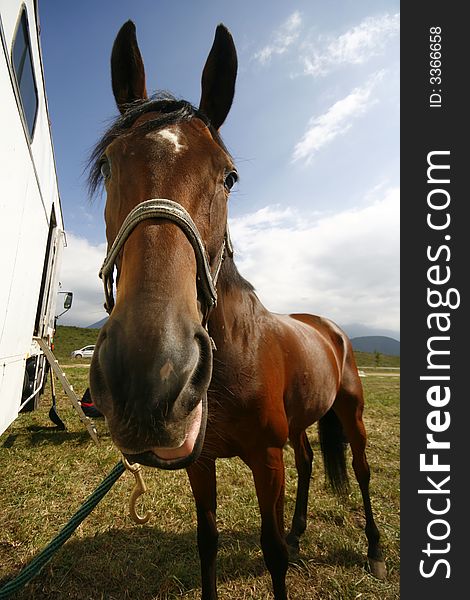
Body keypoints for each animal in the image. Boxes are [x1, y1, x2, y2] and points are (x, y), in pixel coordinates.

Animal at [88, 21, 386, 600]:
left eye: (228, 177)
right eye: (109, 164)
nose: (149, 376)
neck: (234, 355)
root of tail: (330, 328)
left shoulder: (266, 459)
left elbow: (270, 553)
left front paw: (284, 549)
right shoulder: (199, 461)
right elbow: (208, 543)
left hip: (352, 413)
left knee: (361, 472)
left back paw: (376, 551)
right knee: (309, 462)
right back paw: (300, 531)